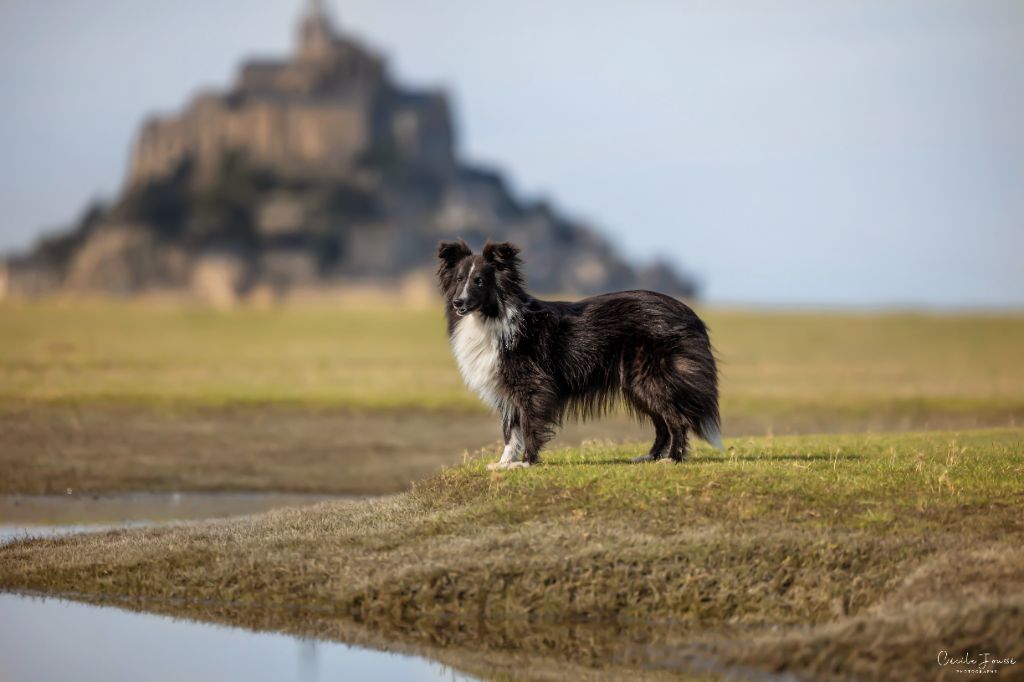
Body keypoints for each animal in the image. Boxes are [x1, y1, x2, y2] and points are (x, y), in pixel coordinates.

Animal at [438, 238, 720, 466]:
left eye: (480, 281)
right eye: (459, 280)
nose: (458, 302)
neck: (493, 316)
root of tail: (691, 314)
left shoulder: (531, 385)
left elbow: (528, 425)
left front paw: (527, 462)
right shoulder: (506, 389)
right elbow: (510, 430)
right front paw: (503, 464)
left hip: (649, 377)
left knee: (676, 419)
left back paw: (672, 458)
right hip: (634, 383)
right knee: (662, 423)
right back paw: (649, 457)